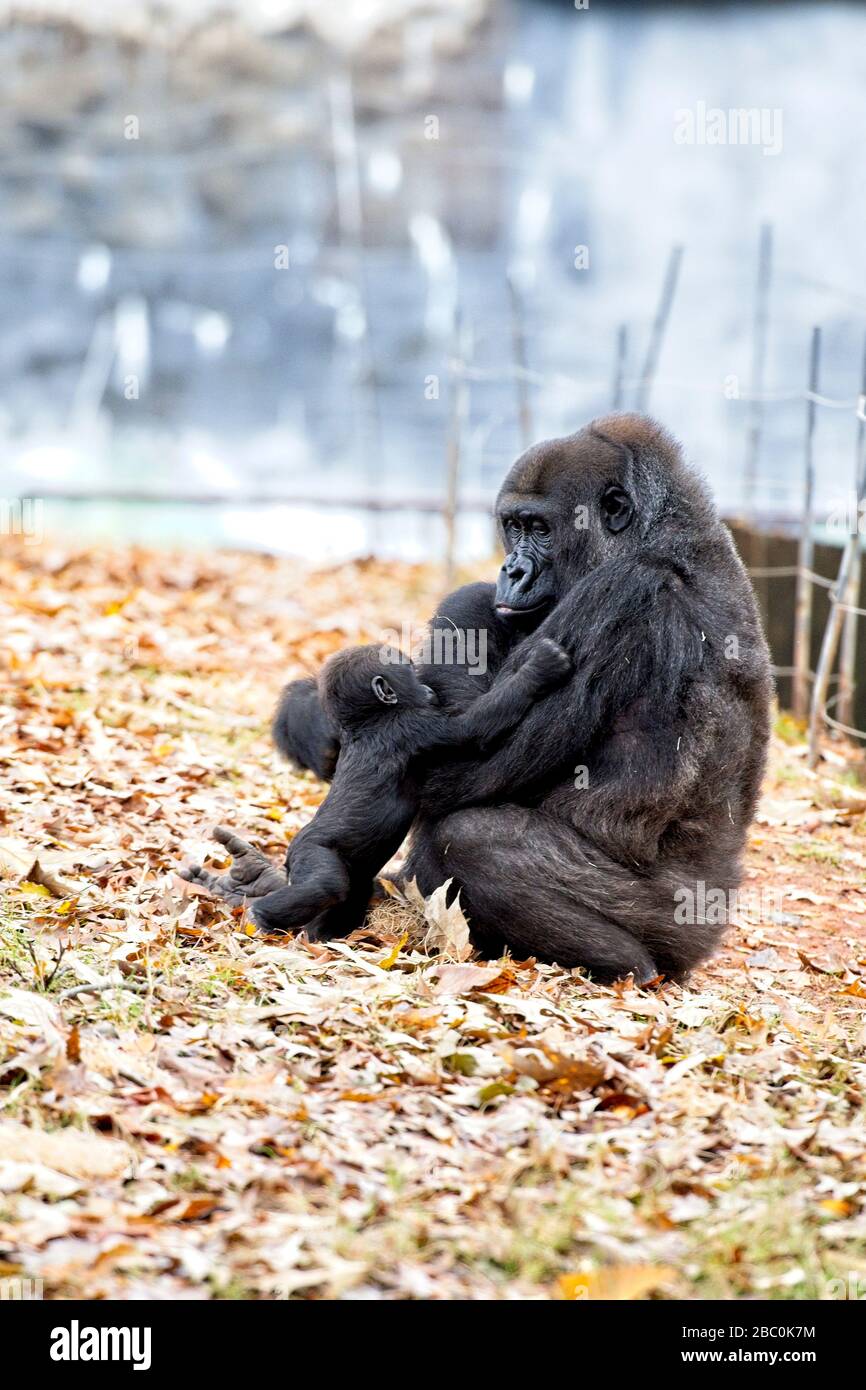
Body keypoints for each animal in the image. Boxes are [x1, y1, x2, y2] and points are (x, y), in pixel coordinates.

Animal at [230, 639, 572, 945]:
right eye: (411, 673)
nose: (427, 688)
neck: (369, 719)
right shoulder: (413, 724)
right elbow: (473, 727)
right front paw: (539, 668)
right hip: (311, 851)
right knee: (325, 884)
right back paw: (260, 916)